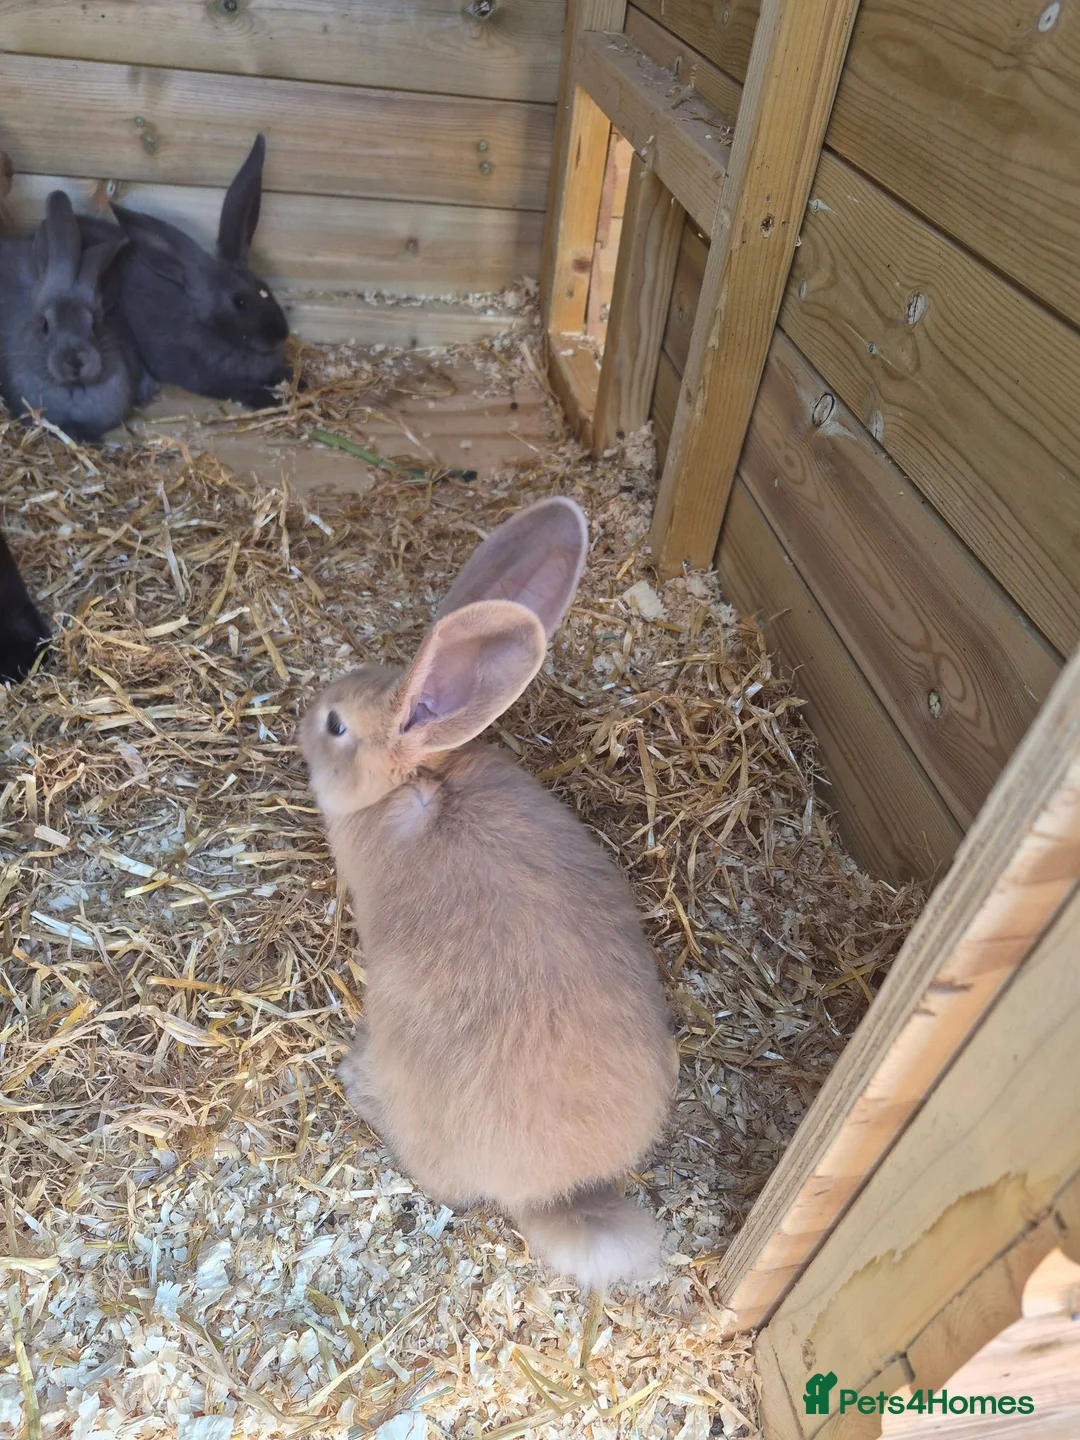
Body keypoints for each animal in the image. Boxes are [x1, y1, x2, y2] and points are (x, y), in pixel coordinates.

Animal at [77, 134, 291, 410]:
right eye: (239, 302)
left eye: (265, 289)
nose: (280, 333)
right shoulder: (205, 378)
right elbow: (237, 388)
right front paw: (269, 398)